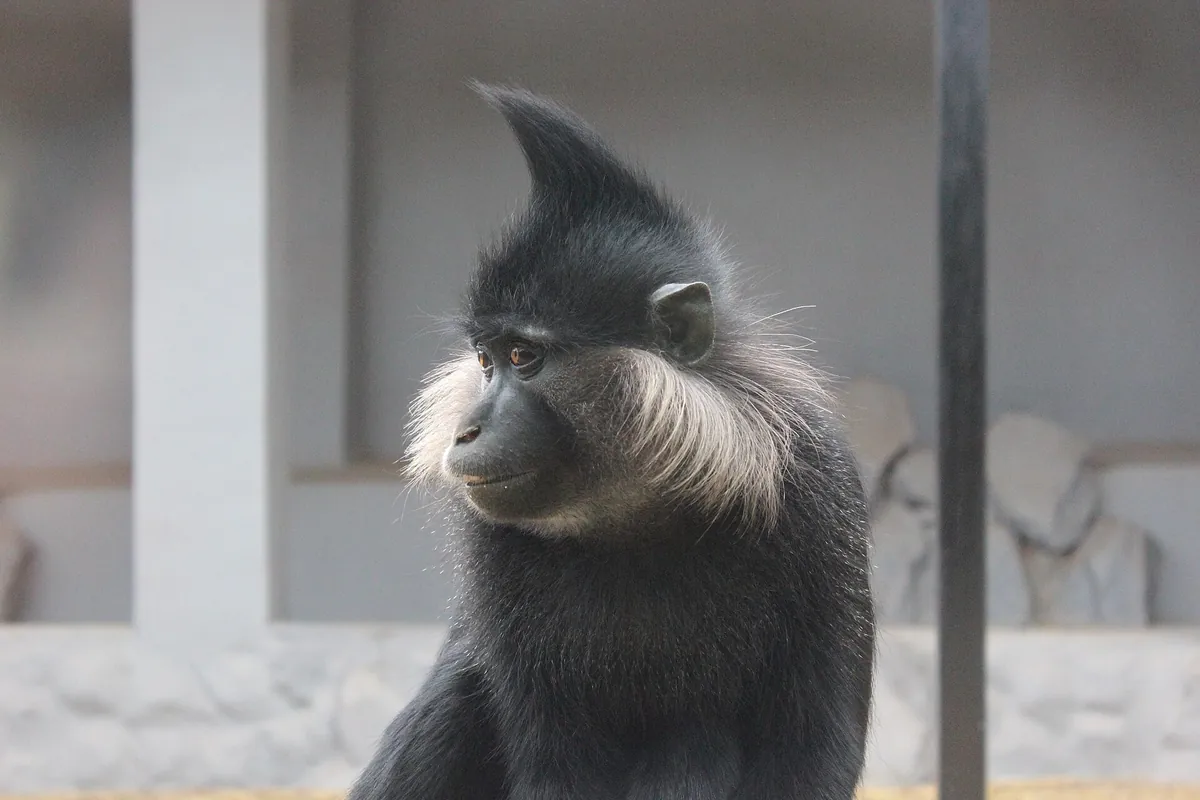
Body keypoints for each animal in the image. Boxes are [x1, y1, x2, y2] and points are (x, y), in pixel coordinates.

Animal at [346, 84, 875, 800]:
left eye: (524, 356)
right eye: (484, 361)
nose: (467, 430)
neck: (635, 517)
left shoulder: (819, 488)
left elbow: (814, 752)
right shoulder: (491, 543)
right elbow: (554, 760)